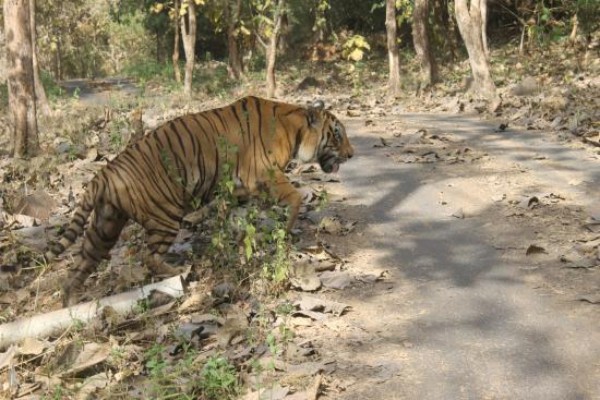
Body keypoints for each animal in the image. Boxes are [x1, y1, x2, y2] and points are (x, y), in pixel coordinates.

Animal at [48, 95, 356, 304]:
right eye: (337, 135)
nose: (352, 155)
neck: (294, 129)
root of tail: (102, 175)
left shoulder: (241, 190)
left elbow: (239, 221)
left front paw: (245, 243)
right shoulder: (265, 175)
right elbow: (294, 198)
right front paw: (286, 230)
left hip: (105, 227)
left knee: (80, 265)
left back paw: (70, 301)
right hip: (165, 214)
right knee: (149, 257)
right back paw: (181, 272)